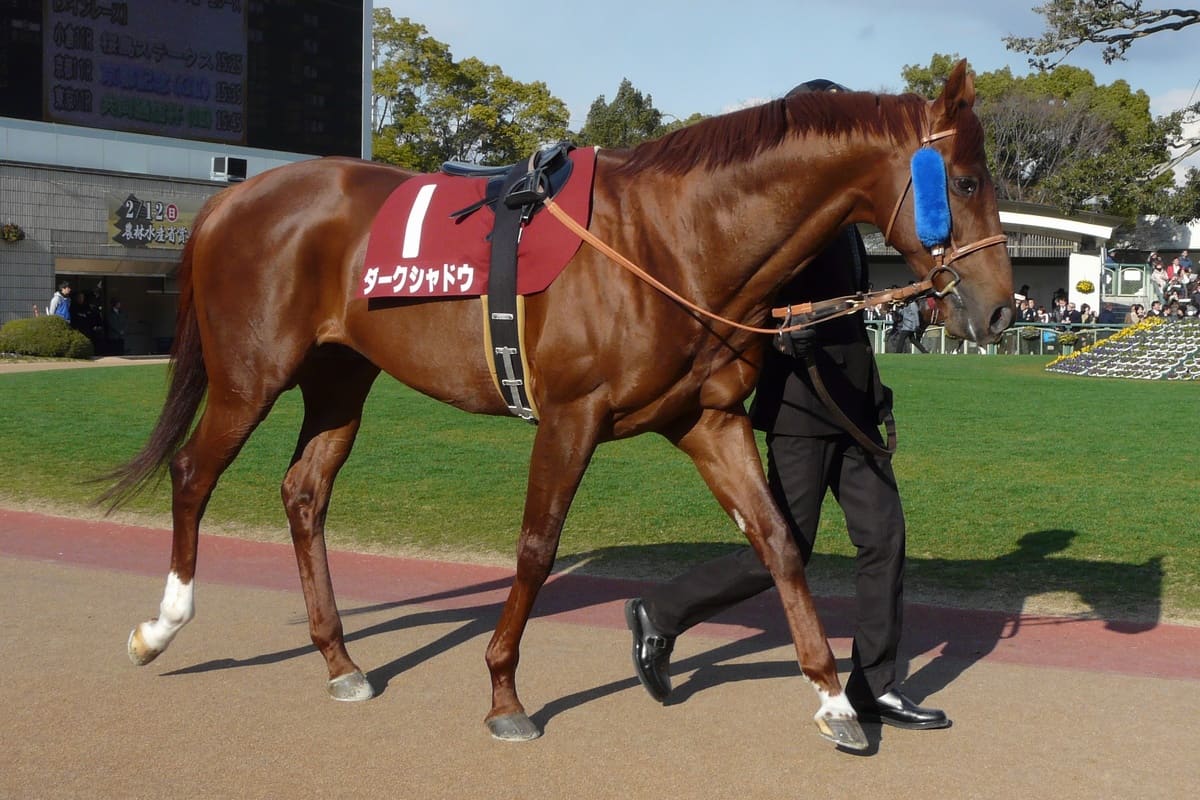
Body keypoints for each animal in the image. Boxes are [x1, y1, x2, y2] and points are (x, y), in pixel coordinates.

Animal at [103, 61, 1012, 753]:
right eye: (965, 180)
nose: (1002, 311)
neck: (667, 239)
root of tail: (232, 198)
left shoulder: (708, 422)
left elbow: (780, 542)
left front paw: (831, 698)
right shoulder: (572, 419)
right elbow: (537, 550)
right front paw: (505, 694)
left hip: (339, 379)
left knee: (303, 492)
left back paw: (340, 660)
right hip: (251, 376)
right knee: (193, 472)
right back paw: (161, 627)